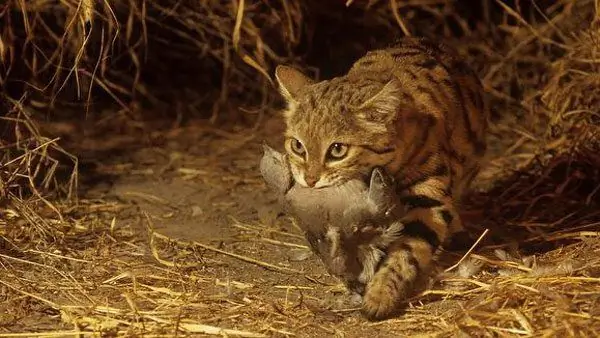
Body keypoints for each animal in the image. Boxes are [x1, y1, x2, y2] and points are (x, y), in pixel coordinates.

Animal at [274, 36, 490, 320]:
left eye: (337, 149)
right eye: (298, 146)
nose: (310, 180)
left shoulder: (429, 200)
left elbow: (405, 252)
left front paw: (379, 294)